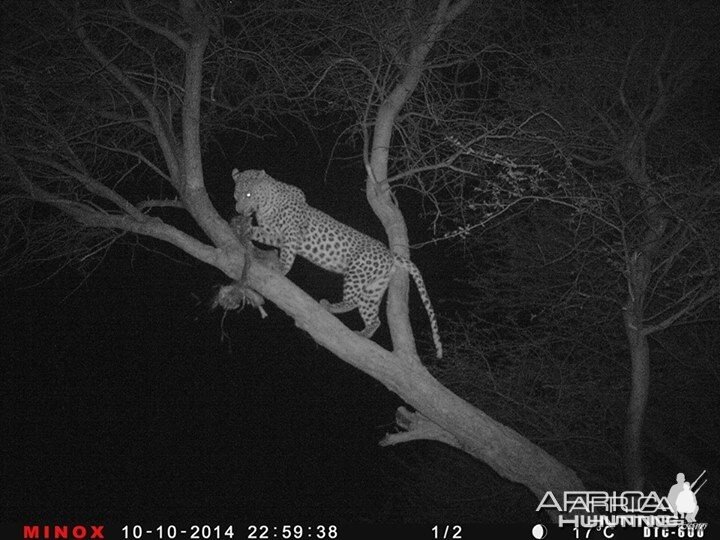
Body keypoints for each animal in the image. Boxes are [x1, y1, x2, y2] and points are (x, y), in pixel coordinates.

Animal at [233, 167, 442, 356]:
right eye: (236, 195)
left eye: (248, 194)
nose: (238, 209)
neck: (265, 204)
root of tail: (390, 254)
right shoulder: (274, 235)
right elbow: (260, 233)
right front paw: (240, 227)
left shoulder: (291, 234)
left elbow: (287, 256)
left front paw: (280, 268)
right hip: (374, 287)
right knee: (373, 317)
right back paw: (364, 333)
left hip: (356, 273)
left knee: (352, 300)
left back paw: (331, 306)